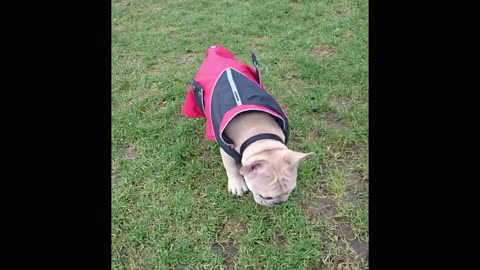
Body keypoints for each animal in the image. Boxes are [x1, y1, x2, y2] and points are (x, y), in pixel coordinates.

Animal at [182, 46, 314, 207]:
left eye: (291, 190)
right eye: (265, 197)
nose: (279, 203)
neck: (260, 136)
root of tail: (214, 50)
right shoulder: (226, 150)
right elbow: (231, 168)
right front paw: (236, 183)